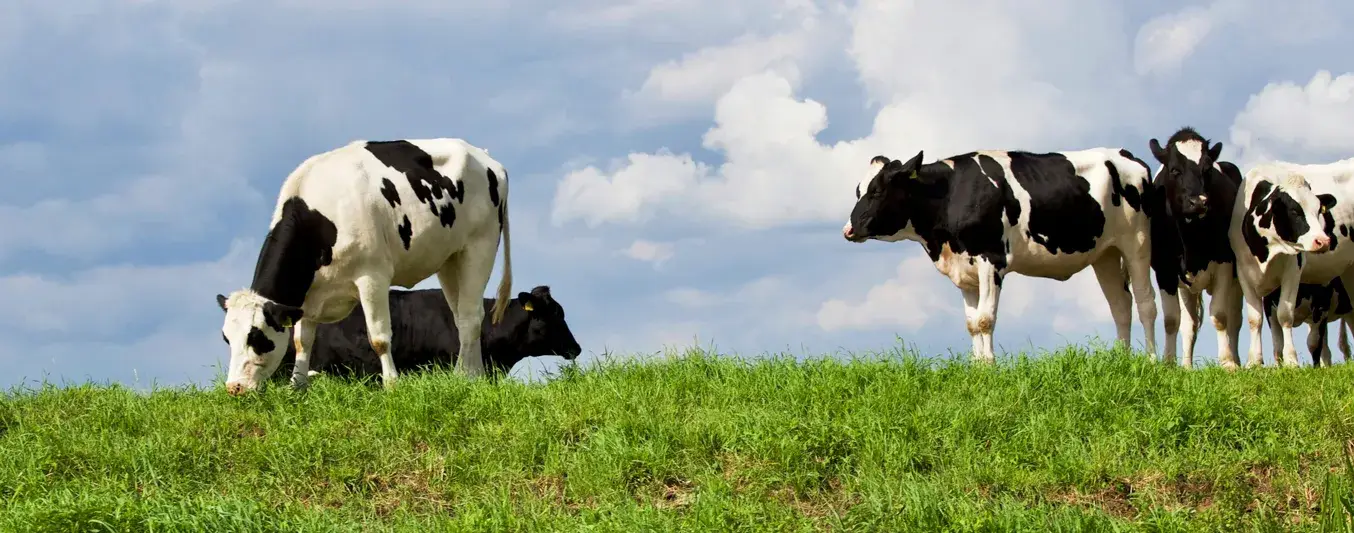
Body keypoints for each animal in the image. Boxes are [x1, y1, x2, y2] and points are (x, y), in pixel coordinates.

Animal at [216, 138, 512, 395]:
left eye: (256, 337)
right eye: (227, 338)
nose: (234, 388)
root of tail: (486, 158)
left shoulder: (373, 277)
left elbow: (379, 338)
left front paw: (391, 385)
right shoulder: (308, 295)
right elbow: (302, 342)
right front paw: (297, 386)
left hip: (480, 245)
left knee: (471, 316)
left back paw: (464, 375)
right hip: (450, 258)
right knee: (462, 317)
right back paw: (474, 376)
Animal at [842, 148, 1158, 363]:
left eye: (878, 190)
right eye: (858, 190)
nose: (849, 229)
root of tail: (1125, 155)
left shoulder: (991, 260)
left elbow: (985, 319)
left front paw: (990, 367)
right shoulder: (965, 270)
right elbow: (972, 324)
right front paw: (977, 367)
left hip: (1137, 243)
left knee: (1146, 304)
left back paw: (1153, 361)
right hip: (1105, 253)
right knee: (1120, 305)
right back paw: (1122, 361)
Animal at [1145, 127, 1244, 369]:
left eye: (1207, 169)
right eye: (1174, 169)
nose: (1198, 202)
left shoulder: (1225, 263)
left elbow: (1220, 316)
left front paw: (1227, 363)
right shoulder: (1165, 270)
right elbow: (1172, 320)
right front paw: (1170, 362)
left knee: (1235, 319)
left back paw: (1238, 360)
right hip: (1185, 287)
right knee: (1189, 324)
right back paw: (1187, 365)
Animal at [1228, 158, 1354, 368]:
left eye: (1318, 210)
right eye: (1294, 211)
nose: (1323, 241)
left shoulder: (1293, 271)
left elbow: (1285, 315)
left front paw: (1291, 361)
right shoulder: (1243, 271)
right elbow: (1255, 319)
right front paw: (1254, 361)